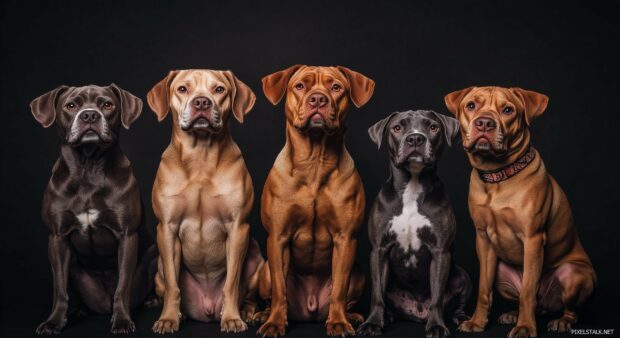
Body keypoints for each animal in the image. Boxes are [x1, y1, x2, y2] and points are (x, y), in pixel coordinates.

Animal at [30, 85, 156, 336]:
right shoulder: (57, 238)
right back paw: (79, 311)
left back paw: (150, 301)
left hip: (154, 255)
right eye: (71, 105)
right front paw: (54, 322)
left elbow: (122, 286)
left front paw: (122, 321)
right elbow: (59, 288)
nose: (89, 115)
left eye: (107, 104)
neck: (87, 170)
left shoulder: (127, 236)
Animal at [148, 70, 264, 334]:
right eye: (182, 89)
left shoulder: (238, 228)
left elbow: (231, 284)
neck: (200, 158)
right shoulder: (166, 230)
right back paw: (178, 314)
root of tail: (207, 309)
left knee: (248, 294)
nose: (202, 102)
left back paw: (248, 313)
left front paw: (232, 318)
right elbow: (173, 286)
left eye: (219, 89)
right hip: (158, 268)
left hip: (255, 256)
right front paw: (168, 318)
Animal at [254, 64, 376, 336]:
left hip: (359, 274)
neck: (314, 163)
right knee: (272, 292)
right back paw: (263, 314)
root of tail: (309, 310)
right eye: (300, 86)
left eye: (336, 87)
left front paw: (339, 322)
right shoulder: (278, 237)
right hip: (263, 271)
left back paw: (351, 316)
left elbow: (339, 288)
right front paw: (274, 323)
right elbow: (280, 289)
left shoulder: (345, 238)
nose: (318, 99)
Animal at [446, 86, 596, 336]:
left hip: (574, 274)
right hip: (501, 273)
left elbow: (527, 290)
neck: (497, 177)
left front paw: (525, 327)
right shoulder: (483, 240)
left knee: (566, 307)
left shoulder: (533, 239)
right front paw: (477, 322)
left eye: (508, 110)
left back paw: (560, 321)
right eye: (471, 106)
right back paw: (512, 314)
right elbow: (483, 288)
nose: (484, 123)